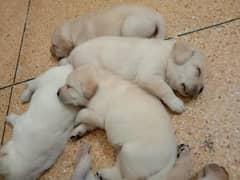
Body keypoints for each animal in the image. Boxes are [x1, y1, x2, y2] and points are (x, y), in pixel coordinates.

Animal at [63, 36, 204, 113]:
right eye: (198, 70)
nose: (200, 91)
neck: (167, 55)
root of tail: (71, 55)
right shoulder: (149, 76)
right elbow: (165, 89)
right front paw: (175, 103)